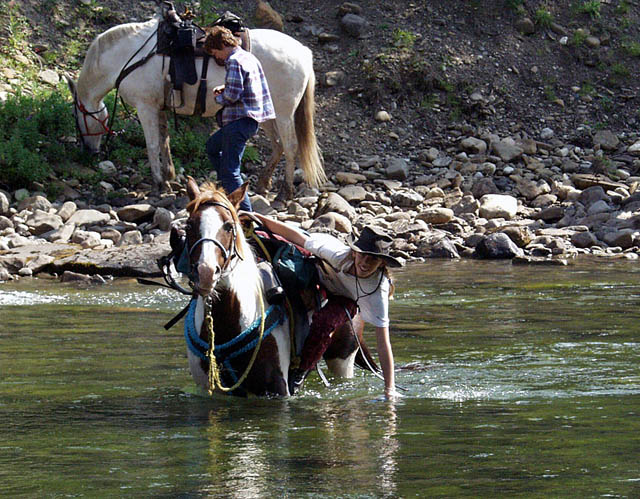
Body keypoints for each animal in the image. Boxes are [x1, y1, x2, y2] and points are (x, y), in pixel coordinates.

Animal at [68, 16, 324, 199]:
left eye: (77, 118)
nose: (89, 152)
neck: (128, 57)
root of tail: (303, 52)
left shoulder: (146, 107)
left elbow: (152, 145)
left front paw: (158, 184)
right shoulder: (160, 107)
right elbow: (164, 142)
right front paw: (170, 177)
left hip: (283, 113)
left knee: (290, 146)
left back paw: (285, 192)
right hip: (266, 114)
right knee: (278, 145)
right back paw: (263, 184)